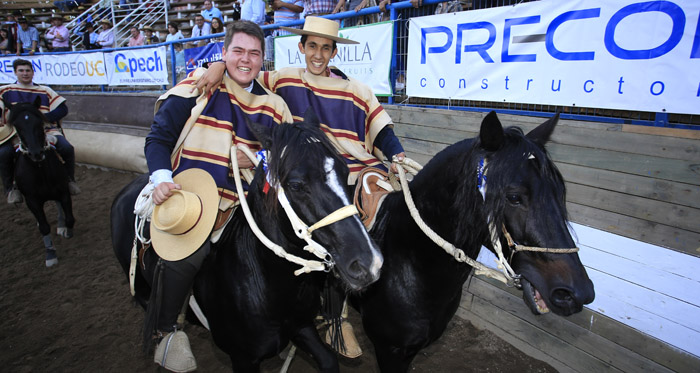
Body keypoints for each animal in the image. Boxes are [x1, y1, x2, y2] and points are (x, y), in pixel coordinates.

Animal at [3, 96, 74, 264]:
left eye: (38, 123)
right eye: (17, 126)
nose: (36, 153)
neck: (40, 169)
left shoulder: (63, 191)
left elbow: (69, 217)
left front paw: (67, 231)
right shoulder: (32, 200)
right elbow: (44, 226)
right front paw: (51, 255)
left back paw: (61, 225)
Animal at [112, 112, 382, 370]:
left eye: (345, 172)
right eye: (296, 185)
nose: (369, 263)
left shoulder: (302, 327)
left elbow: (328, 360)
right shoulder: (243, 358)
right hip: (144, 293)